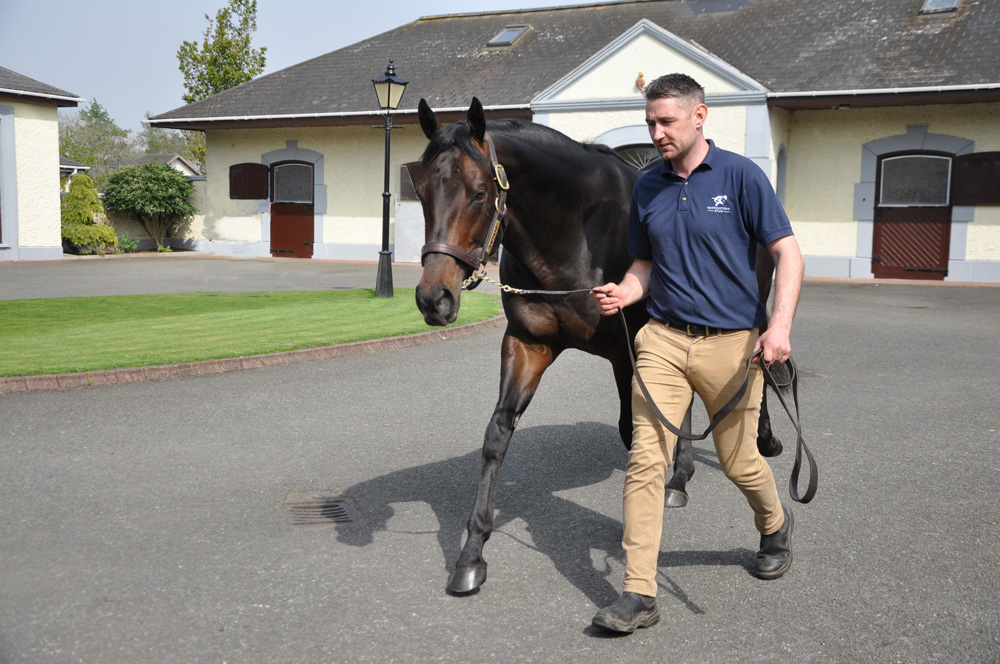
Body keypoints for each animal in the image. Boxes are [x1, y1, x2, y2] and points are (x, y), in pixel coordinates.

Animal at [414, 96, 780, 592]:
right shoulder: (527, 345)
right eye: (422, 191)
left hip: (751, 312)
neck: (575, 235)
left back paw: (763, 439)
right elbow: (497, 435)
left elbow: (632, 432)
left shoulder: (626, 355)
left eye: (477, 193)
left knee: (764, 369)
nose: (435, 299)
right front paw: (471, 553)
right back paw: (678, 479)